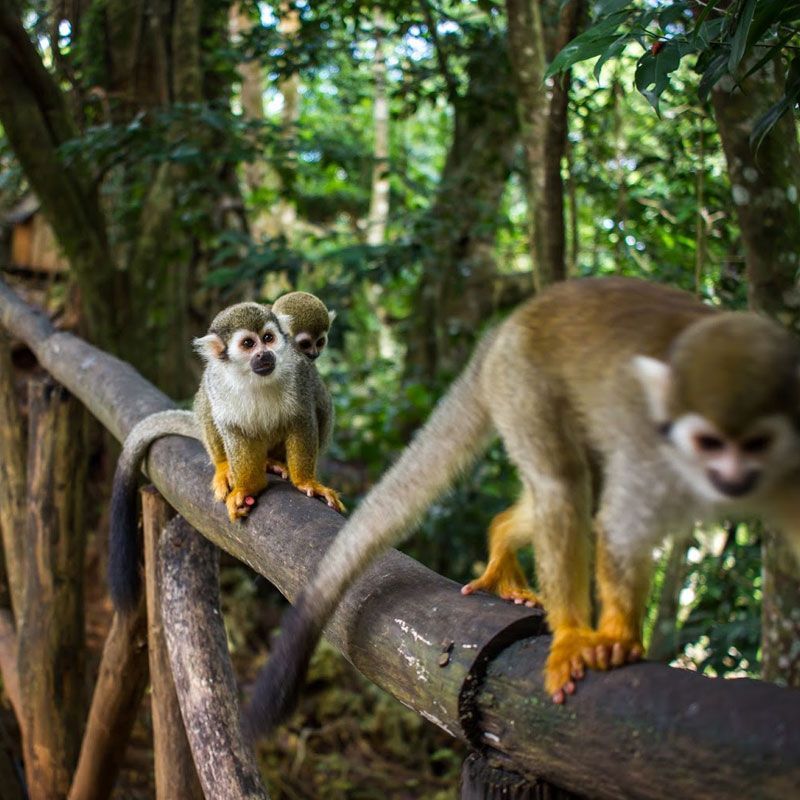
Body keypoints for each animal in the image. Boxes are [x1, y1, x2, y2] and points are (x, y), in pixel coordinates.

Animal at [108, 301, 344, 613]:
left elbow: (302, 419)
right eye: (248, 344)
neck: (254, 378)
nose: (264, 354)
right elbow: (233, 429)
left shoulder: (299, 374)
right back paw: (227, 468)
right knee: (208, 403)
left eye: (268, 338)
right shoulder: (220, 383)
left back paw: (276, 463)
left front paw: (306, 482)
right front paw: (247, 487)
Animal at [240, 276, 800, 737]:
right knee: (565, 483)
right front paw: (607, 637)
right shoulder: (650, 449)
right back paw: (563, 620)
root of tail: (515, 321)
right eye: (709, 442)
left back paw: (503, 534)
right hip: (522, 380)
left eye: (756, 444)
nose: (732, 477)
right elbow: (620, 527)